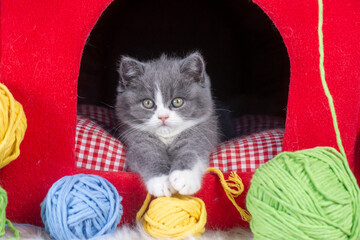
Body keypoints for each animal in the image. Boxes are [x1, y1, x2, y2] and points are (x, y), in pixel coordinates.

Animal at [114, 51, 219, 196]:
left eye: (177, 101)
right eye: (148, 103)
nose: (163, 116)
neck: (167, 137)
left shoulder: (202, 132)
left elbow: (192, 150)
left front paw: (184, 177)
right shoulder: (136, 139)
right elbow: (147, 154)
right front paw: (161, 182)